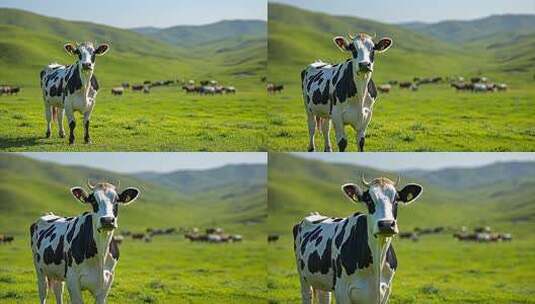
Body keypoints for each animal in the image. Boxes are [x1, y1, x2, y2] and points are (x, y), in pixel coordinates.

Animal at [294, 176, 422, 304]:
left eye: (396, 200)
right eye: (369, 200)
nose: (386, 224)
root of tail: (314, 215)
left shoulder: (385, 291)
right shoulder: (342, 291)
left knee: (324, 296)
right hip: (303, 277)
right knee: (307, 294)